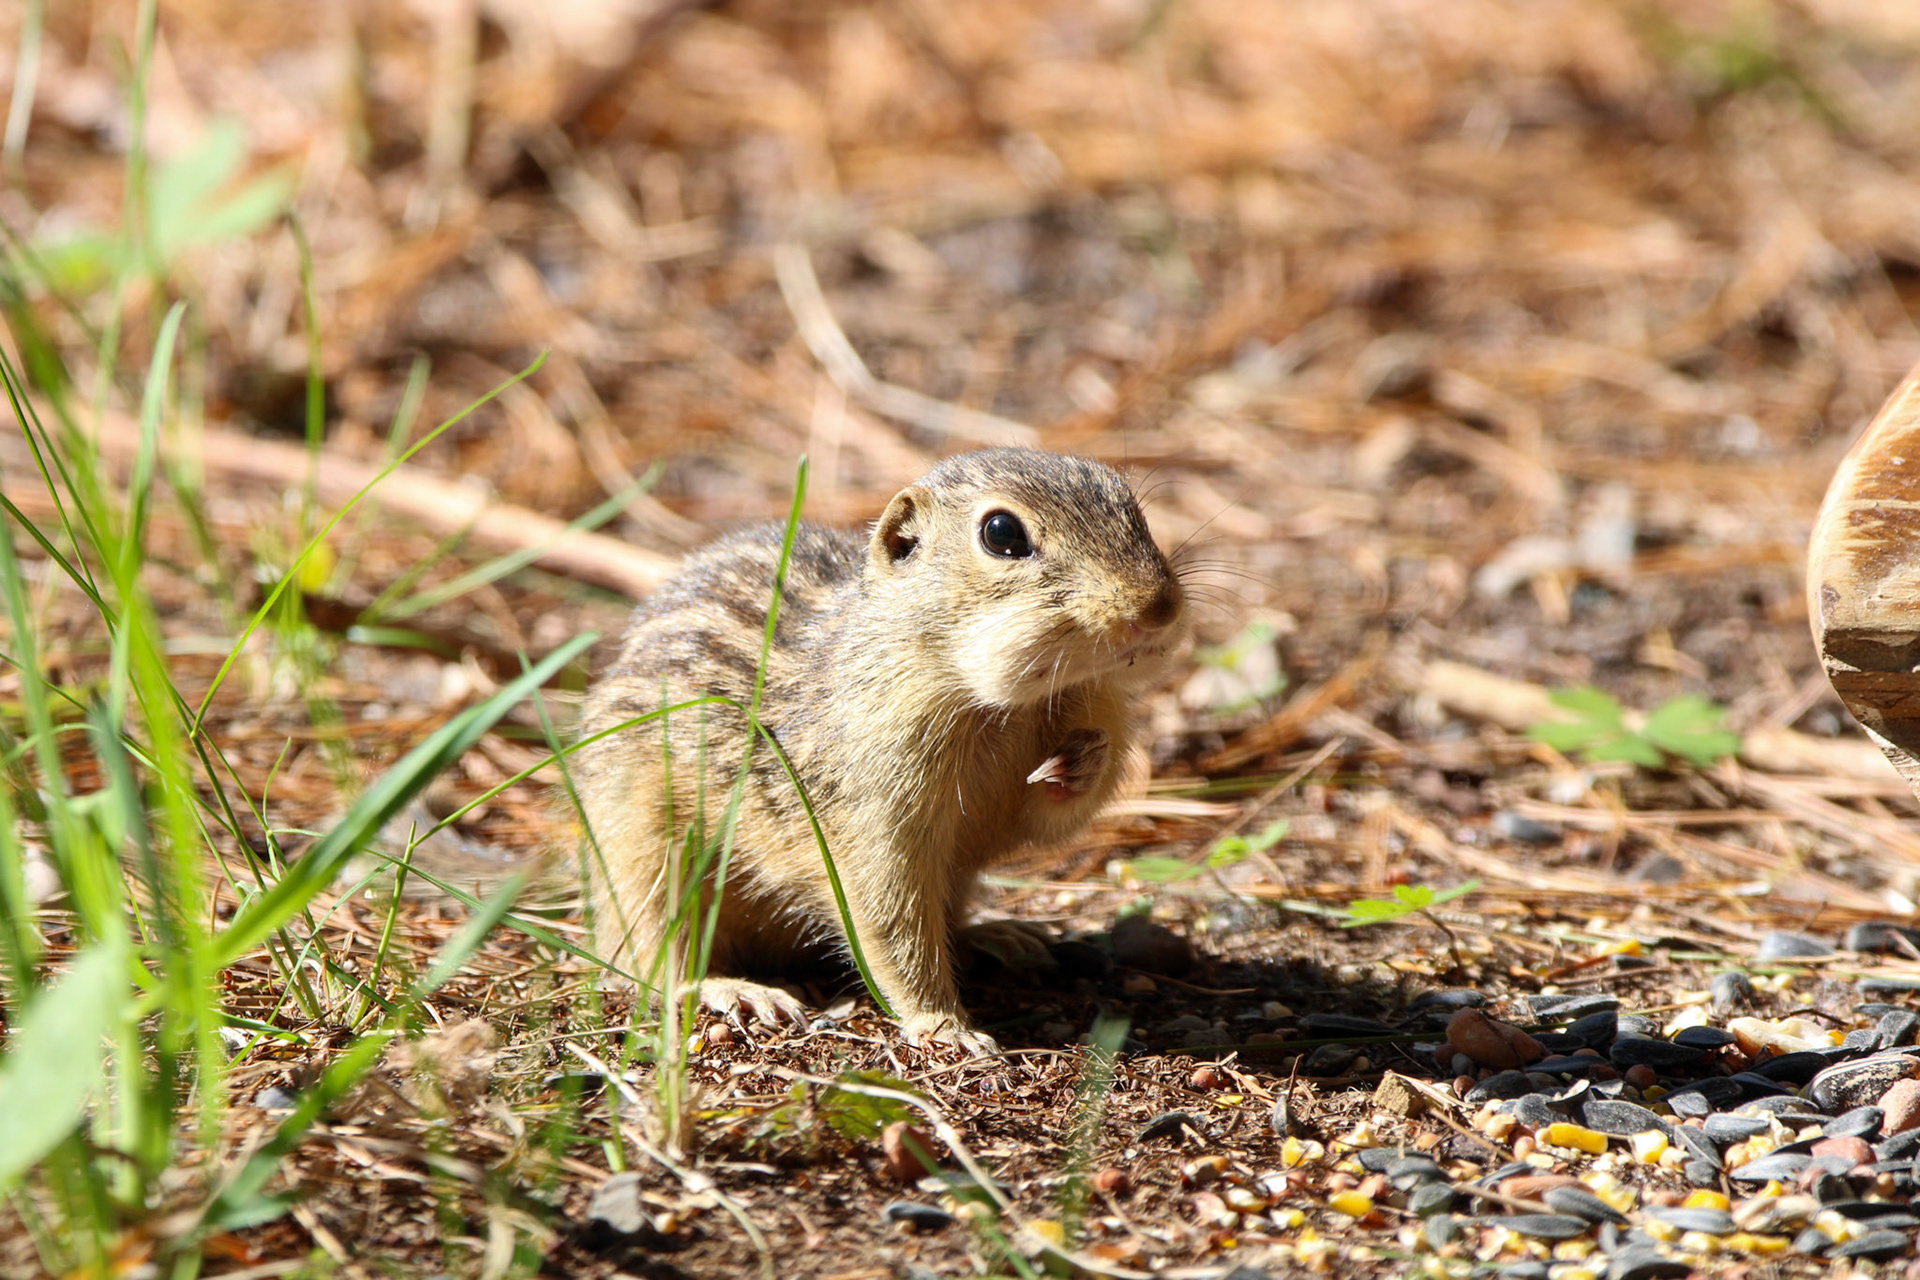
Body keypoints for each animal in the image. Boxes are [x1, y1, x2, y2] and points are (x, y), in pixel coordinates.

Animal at [574, 448, 1188, 1052]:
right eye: (1002, 533)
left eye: (1131, 503)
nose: (1157, 608)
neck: (1002, 704)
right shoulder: (874, 820)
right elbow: (892, 927)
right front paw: (944, 1026)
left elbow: (1045, 815)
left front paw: (1084, 760)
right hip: (641, 853)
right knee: (649, 960)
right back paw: (731, 989)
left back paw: (1002, 936)